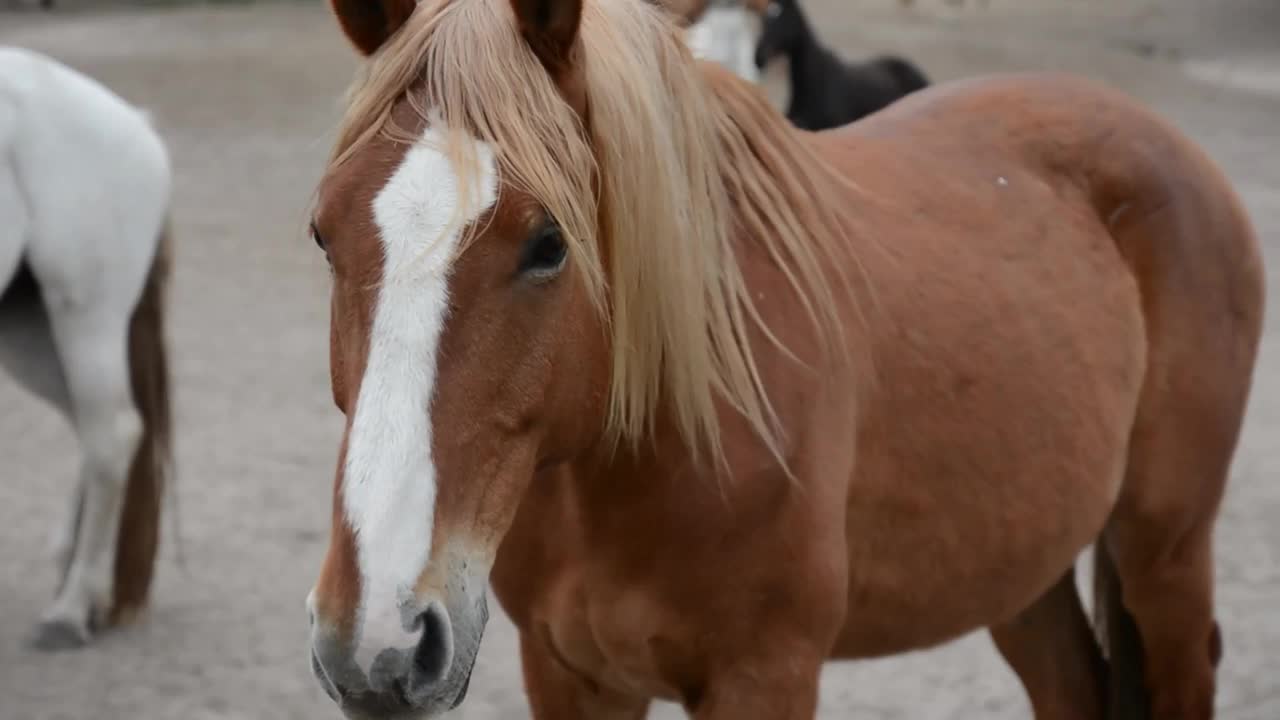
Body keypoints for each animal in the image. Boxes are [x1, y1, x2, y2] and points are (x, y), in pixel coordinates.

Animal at [0, 47, 172, 648]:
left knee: (112, 435)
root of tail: (137, 124)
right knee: (93, 429)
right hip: (29, 331)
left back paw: (71, 609)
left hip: (85, 318)